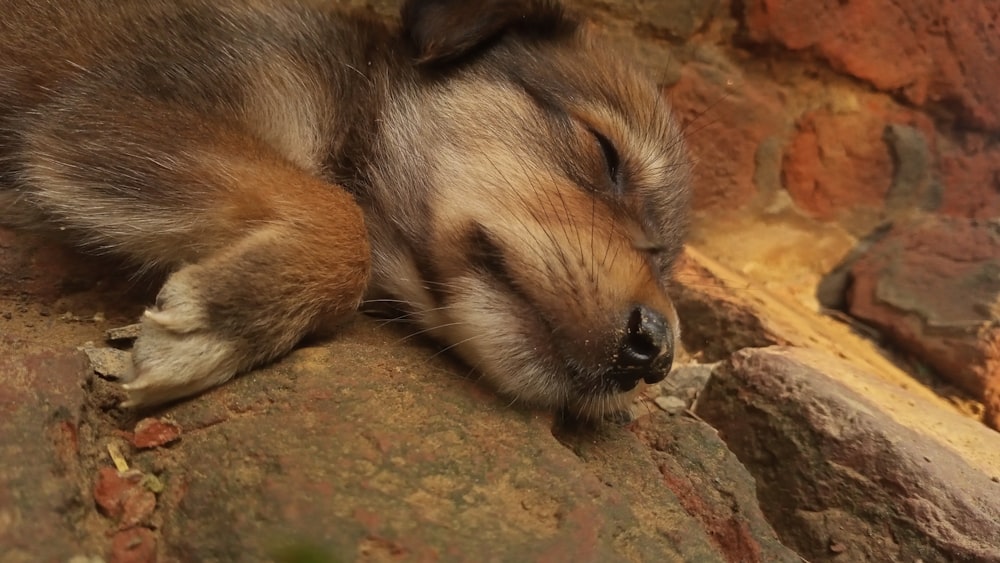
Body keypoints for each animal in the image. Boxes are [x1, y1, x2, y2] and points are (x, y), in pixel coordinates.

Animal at [0, 0, 692, 418]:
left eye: (665, 257)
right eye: (604, 153)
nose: (657, 354)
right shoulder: (103, 117)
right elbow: (340, 213)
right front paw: (229, 313)